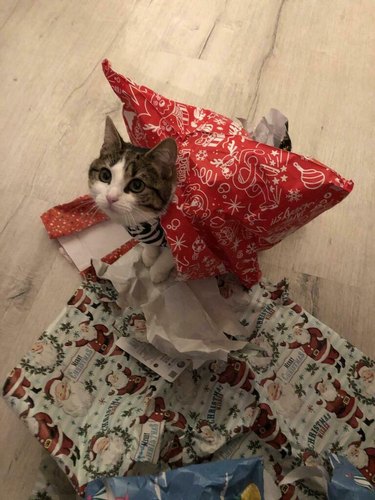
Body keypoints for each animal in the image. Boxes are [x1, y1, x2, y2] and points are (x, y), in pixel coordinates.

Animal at [89, 115, 178, 284]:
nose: (110, 198)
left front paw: (157, 271)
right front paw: (150, 255)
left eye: (137, 185)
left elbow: (171, 256)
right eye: (105, 175)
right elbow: (150, 244)